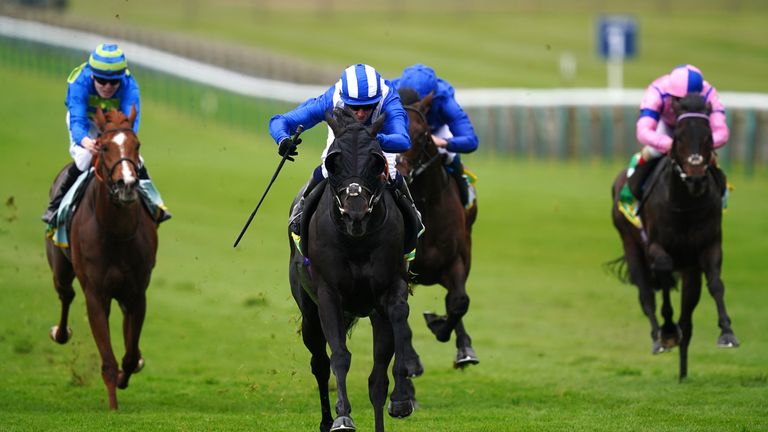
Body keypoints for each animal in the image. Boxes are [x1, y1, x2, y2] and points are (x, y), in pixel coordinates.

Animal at [45, 107, 159, 408]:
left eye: (137, 145)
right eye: (104, 146)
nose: (127, 184)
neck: (116, 233)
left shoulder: (137, 293)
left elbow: (129, 356)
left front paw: (126, 374)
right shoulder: (96, 294)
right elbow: (108, 360)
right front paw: (113, 406)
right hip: (60, 267)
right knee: (66, 294)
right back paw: (60, 333)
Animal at [288, 107, 424, 432]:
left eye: (376, 160)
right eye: (333, 160)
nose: (355, 212)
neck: (357, 240)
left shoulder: (390, 287)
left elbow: (398, 319)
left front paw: (402, 399)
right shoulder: (328, 294)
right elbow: (339, 356)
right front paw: (343, 417)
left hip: (373, 312)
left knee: (376, 379)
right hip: (308, 312)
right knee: (319, 363)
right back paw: (327, 420)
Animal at [612, 94, 736, 382]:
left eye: (709, 136)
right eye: (678, 137)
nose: (696, 177)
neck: (685, 205)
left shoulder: (709, 246)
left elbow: (716, 284)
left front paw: (727, 333)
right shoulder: (657, 247)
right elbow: (664, 278)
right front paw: (667, 331)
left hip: (690, 272)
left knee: (687, 321)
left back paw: (682, 372)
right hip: (631, 245)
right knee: (647, 295)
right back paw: (660, 339)